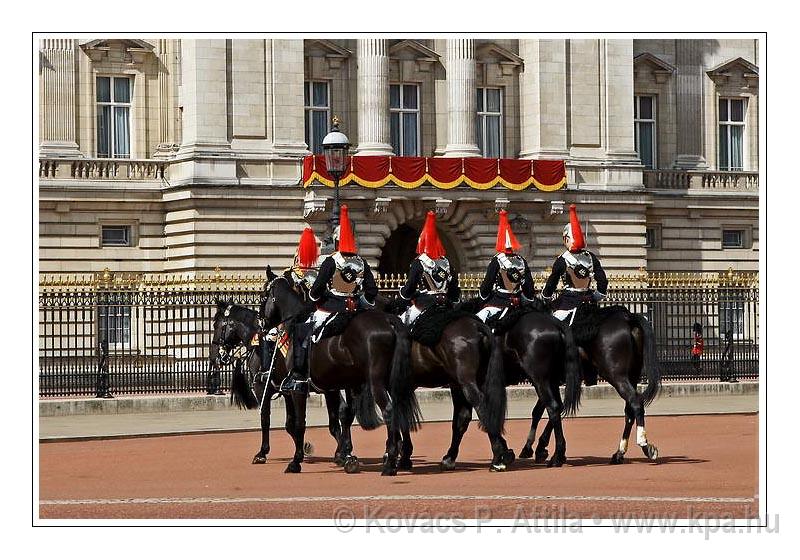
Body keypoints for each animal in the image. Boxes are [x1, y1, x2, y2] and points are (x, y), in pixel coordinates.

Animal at [209, 302, 344, 468]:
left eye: (217, 325)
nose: (213, 357)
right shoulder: (287, 392)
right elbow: (289, 424)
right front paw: (304, 447)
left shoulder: (262, 389)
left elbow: (265, 419)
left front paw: (262, 453)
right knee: (338, 417)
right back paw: (341, 451)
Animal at [260, 264, 422, 474]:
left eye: (263, 295)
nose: (262, 324)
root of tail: (389, 320)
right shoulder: (338, 386)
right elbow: (343, 417)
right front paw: (347, 456)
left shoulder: (299, 387)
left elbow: (300, 423)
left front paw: (296, 461)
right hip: (392, 380)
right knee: (399, 408)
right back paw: (400, 456)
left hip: (376, 382)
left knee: (388, 410)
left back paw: (390, 461)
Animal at [520, 306, 660, 464]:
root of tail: (627, 318)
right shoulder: (550, 381)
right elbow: (552, 408)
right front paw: (541, 447)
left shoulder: (543, 380)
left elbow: (545, 410)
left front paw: (533, 447)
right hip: (632, 375)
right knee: (629, 409)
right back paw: (619, 453)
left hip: (616, 375)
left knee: (635, 402)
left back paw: (644, 444)